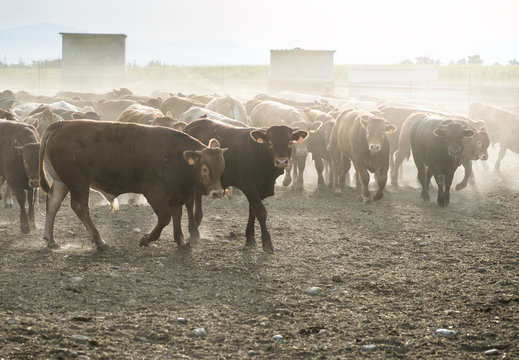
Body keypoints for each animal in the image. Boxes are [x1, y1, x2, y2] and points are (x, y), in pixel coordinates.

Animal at [39, 121, 226, 250]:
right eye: (204, 168)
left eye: (222, 166)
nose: (218, 193)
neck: (175, 157)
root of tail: (61, 125)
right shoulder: (155, 194)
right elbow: (165, 217)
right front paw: (146, 239)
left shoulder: (176, 195)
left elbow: (177, 215)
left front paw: (180, 240)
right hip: (79, 182)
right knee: (80, 207)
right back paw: (100, 241)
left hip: (61, 181)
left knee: (53, 203)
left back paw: (51, 240)